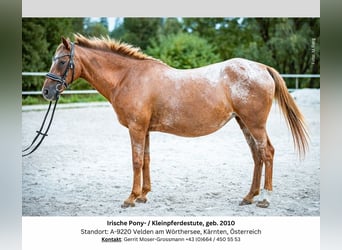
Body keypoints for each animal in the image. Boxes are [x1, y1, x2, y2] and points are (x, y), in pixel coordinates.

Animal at [41, 34, 308, 208]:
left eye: (62, 61)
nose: (46, 92)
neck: (128, 77)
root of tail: (262, 67)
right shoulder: (145, 130)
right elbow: (146, 160)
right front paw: (143, 195)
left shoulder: (136, 129)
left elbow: (136, 161)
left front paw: (130, 198)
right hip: (244, 123)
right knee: (257, 156)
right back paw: (249, 197)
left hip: (255, 124)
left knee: (267, 153)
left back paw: (264, 199)